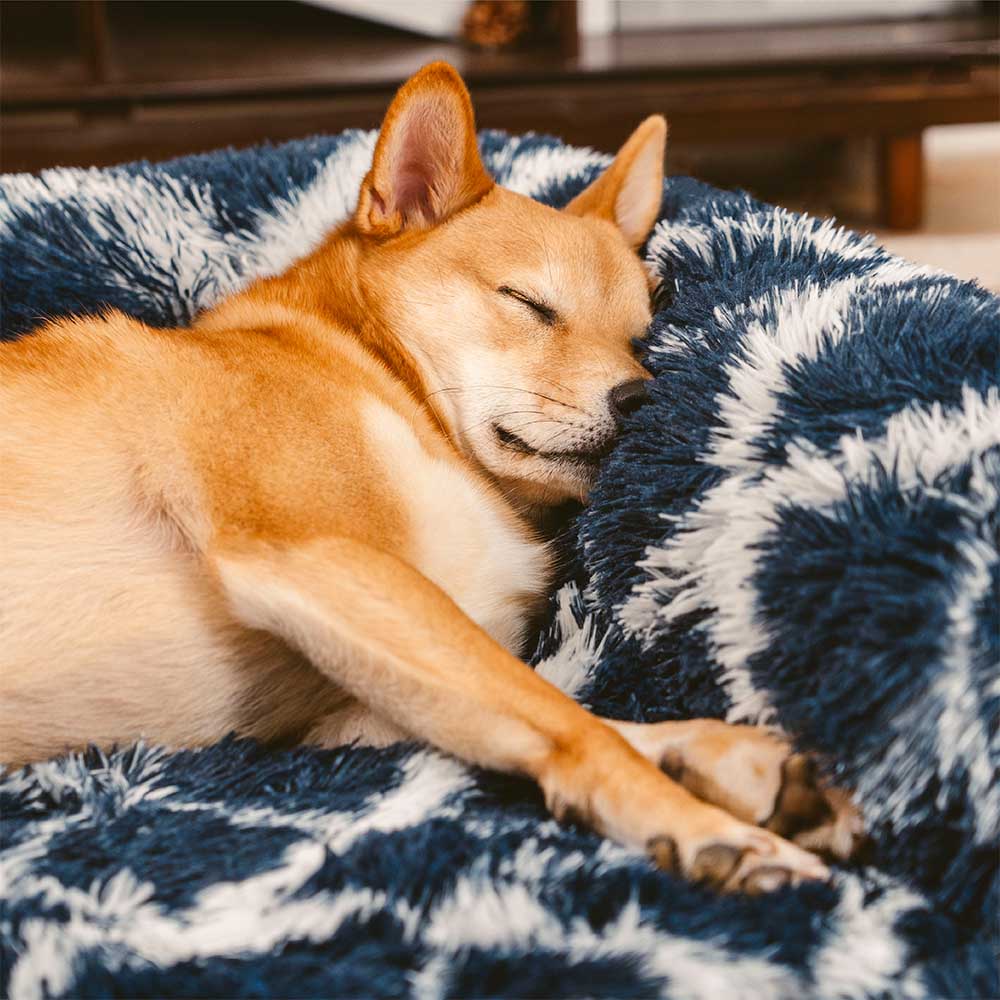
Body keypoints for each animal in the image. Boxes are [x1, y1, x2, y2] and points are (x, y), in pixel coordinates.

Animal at [0, 62, 860, 892]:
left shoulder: (347, 715)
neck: (387, 382)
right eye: (529, 303)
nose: (641, 396)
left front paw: (725, 761)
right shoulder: (317, 559)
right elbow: (572, 721)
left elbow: (563, 712)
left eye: (641, 340)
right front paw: (700, 822)